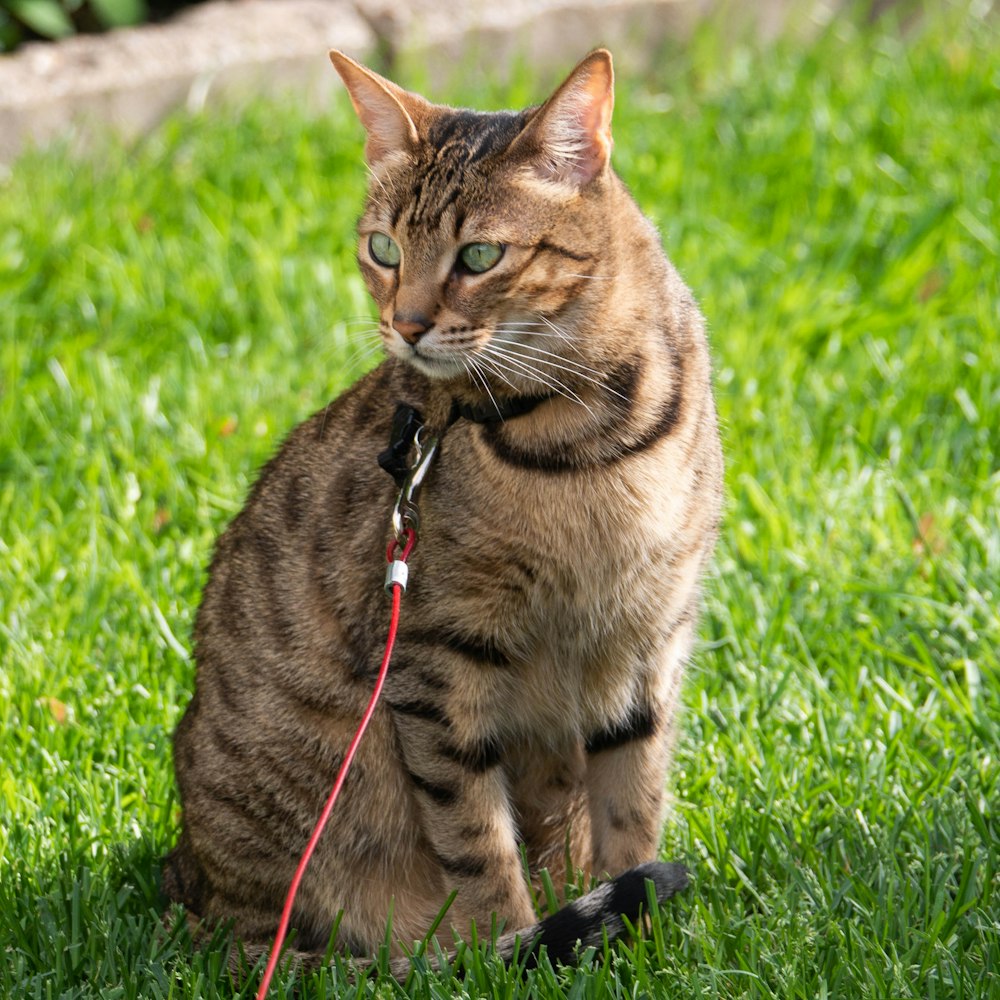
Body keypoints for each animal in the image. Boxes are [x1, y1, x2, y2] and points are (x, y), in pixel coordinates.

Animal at [166, 47, 728, 976]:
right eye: (383, 248)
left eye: (481, 255)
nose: (406, 324)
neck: (576, 434)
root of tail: (196, 896)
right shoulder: (437, 659)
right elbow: (478, 843)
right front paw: (516, 949)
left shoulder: (646, 641)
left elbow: (631, 809)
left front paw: (640, 944)